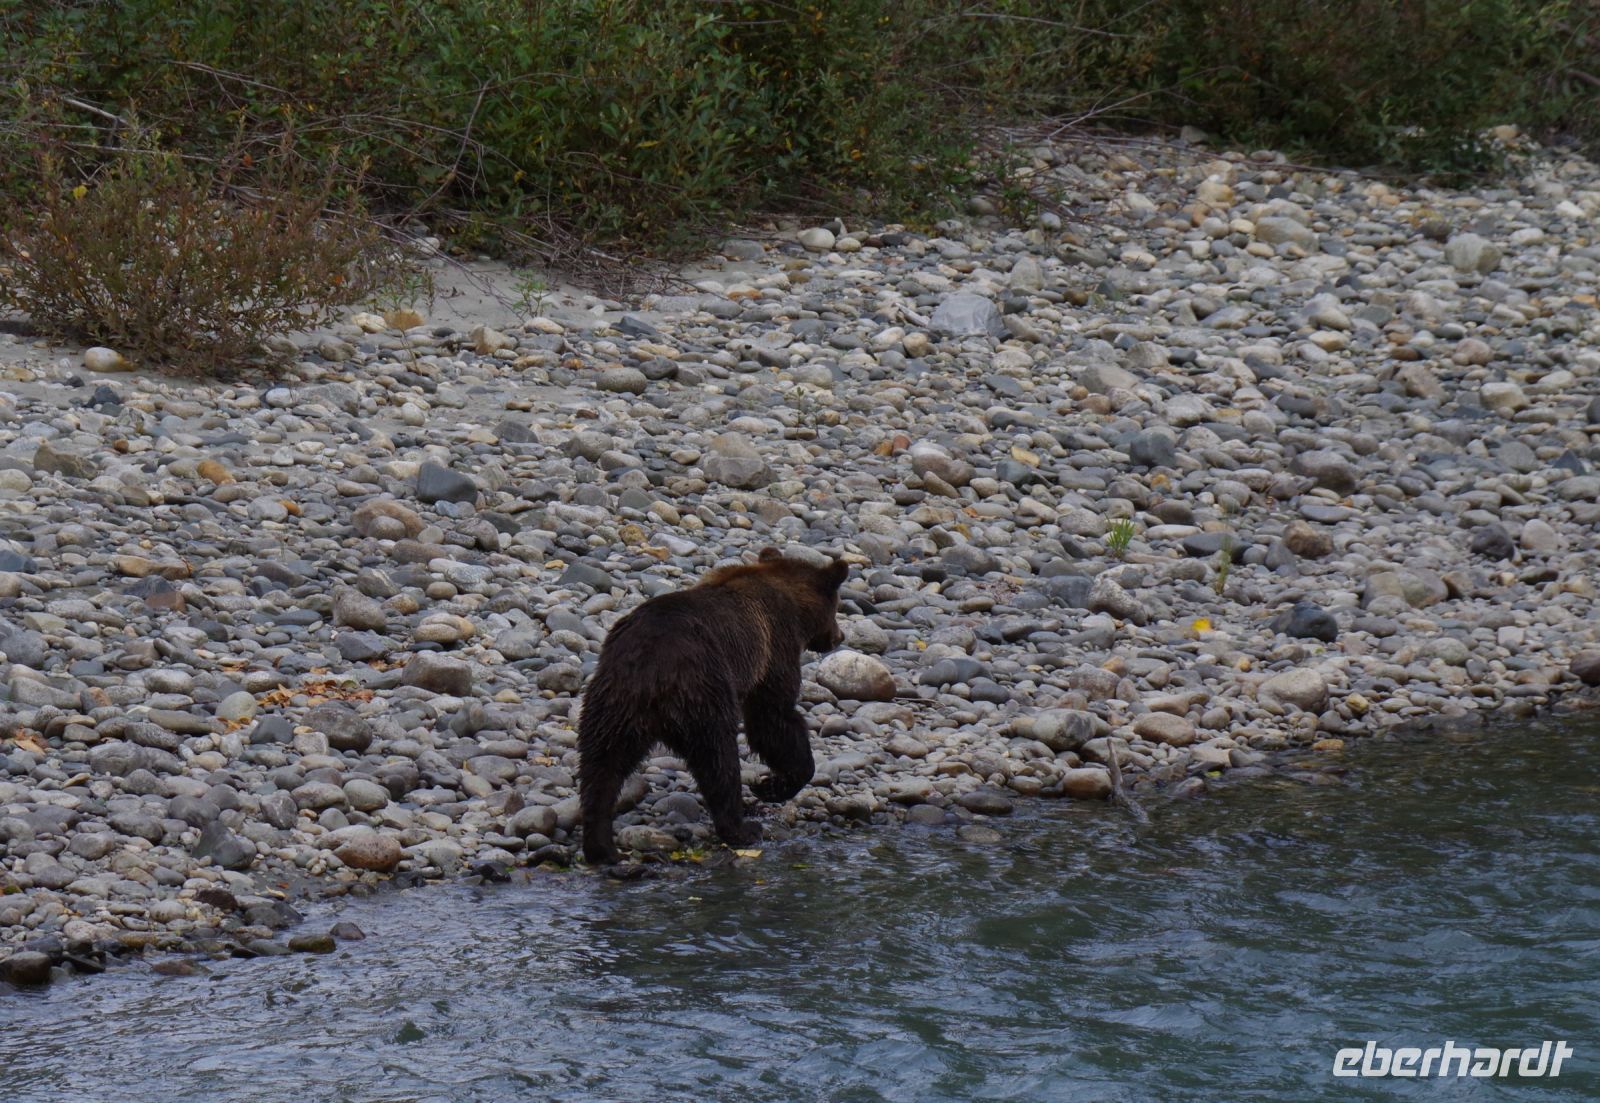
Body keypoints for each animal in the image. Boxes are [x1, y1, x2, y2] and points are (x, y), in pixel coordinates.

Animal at [577, 547, 848, 865]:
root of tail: (650, 669)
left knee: (601, 766)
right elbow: (773, 716)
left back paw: (600, 846)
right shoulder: (774, 646)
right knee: (718, 757)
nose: (839, 636)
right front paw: (772, 785)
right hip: (703, 691)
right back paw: (741, 827)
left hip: (612, 702)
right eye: (836, 608)